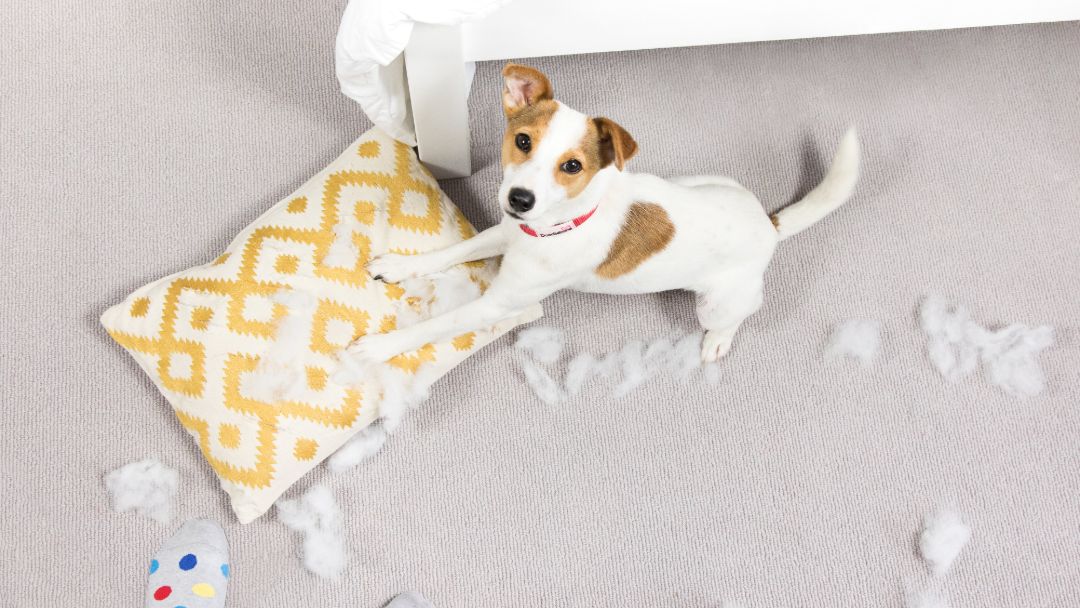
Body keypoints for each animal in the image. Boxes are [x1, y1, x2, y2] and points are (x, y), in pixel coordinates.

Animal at [349, 64, 864, 365]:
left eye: (573, 166)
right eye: (522, 141)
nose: (520, 199)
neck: (551, 228)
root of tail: (768, 223)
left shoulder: (501, 302)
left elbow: (438, 325)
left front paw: (375, 350)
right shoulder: (504, 232)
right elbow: (457, 250)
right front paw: (401, 266)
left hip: (717, 302)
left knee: (743, 311)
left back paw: (719, 340)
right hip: (696, 180)